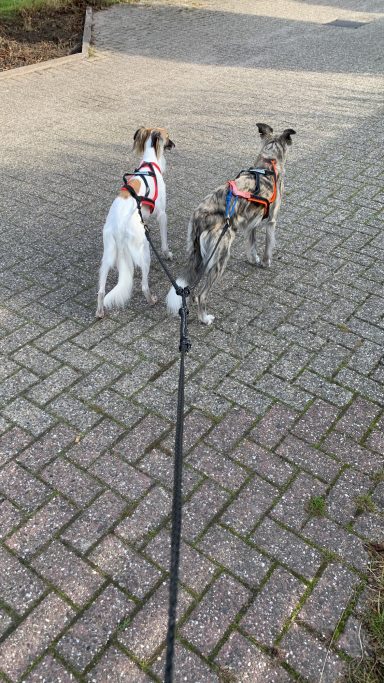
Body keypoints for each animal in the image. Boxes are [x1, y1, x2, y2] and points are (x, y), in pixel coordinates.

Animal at [95, 125, 175, 318]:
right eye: (168, 136)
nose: (174, 144)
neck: (150, 164)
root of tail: (119, 228)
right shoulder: (162, 214)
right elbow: (164, 242)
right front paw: (167, 254)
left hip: (107, 255)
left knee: (101, 289)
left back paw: (100, 311)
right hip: (144, 250)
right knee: (144, 285)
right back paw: (151, 299)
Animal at [166, 125, 296, 326]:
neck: (267, 165)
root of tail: (200, 217)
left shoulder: (251, 224)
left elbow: (252, 246)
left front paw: (253, 259)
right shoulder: (271, 221)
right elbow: (268, 247)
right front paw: (265, 263)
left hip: (202, 256)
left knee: (192, 289)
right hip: (221, 257)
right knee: (202, 294)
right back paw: (204, 318)